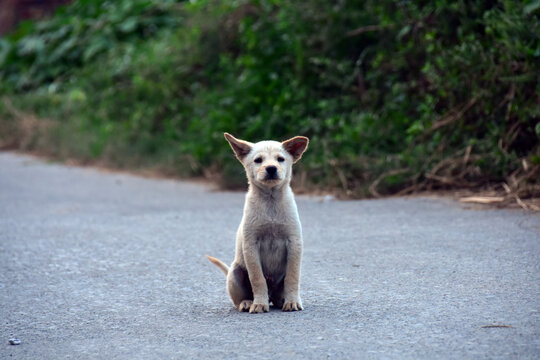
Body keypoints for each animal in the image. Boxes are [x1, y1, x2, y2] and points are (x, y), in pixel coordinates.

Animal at [206, 134, 308, 314]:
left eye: (280, 159)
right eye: (258, 160)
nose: (271, 169)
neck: (270, 202)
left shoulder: (294, 243)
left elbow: (292, 277)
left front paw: (293, 302)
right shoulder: (251, 245)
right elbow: (257, 278)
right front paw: (259, 304)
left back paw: (282, 300)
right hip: (235, 272)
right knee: (239, 299)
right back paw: (248, 302)